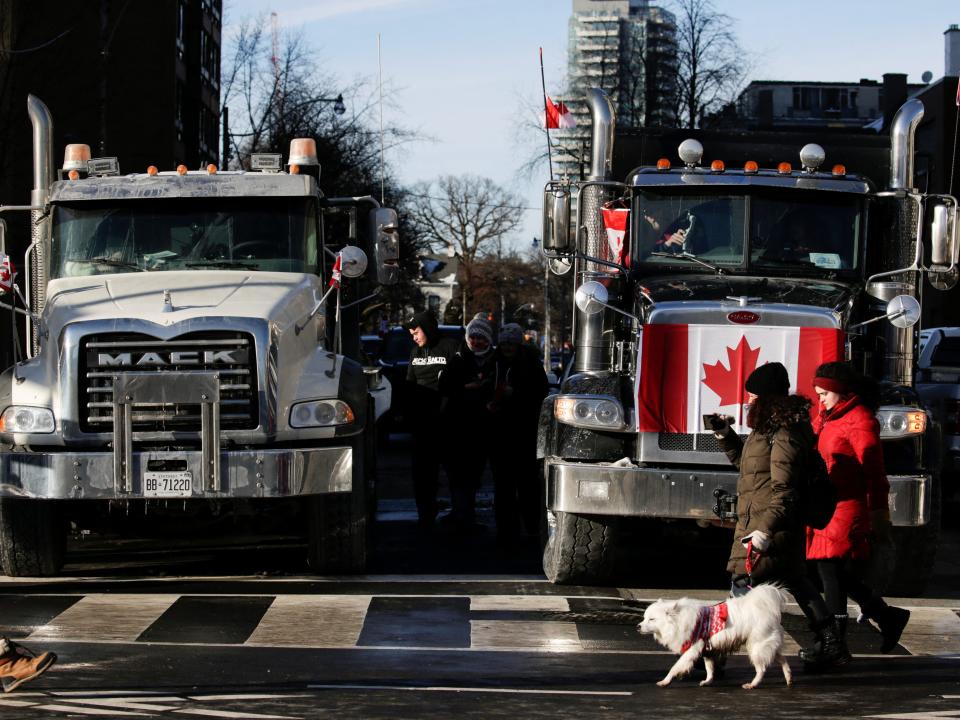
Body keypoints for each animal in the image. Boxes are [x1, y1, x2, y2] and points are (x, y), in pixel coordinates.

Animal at [640, 584, 792, 688]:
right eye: (644, 618)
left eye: (651, 619)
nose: (638, 626)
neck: (677, 620)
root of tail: (767, 610)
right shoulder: (707, 651)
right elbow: (709, 669)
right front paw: (708, 681)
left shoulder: (691, 650)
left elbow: (675, 667)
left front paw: (665, 681)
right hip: (766, 644)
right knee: (782, 659)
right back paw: (789, 678)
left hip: (756, 647)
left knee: (761, 669)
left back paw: (752, 684)